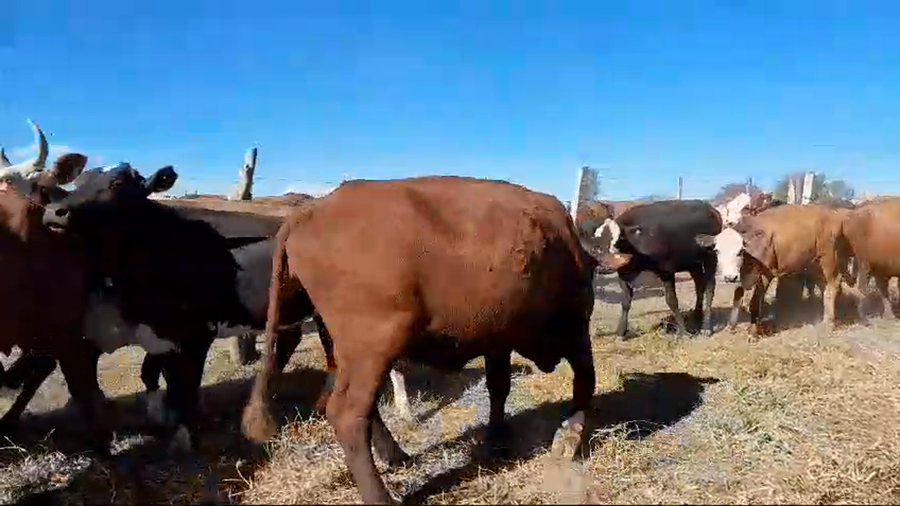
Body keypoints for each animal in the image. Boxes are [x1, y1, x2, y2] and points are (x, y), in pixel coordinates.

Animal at [241, 175, 603, 504]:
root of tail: (309, 211)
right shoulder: (576, 325)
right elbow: (586, 379)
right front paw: (570, 437)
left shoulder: (498, 339)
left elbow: (499, 387)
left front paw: (498, 443)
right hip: (374, 347)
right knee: (347, 413)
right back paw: (381, 497)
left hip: (342, 349)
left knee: (357, 406)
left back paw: (396, 456)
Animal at [598, 199, 723, 337]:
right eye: (599, 242)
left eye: (618, 239)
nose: (605, 265)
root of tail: (711, 209)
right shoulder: (624, 274)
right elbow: (626, 301)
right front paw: (621, 331)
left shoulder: (666, 271)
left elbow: (671, 300)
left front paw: (683, 331)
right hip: (693, 264)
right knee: (699, 286)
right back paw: (697, 315)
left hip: (710, 258)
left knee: (710, 288)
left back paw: (706, 327)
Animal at [694, 204, 859, 340]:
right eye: (717, 251)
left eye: (740, 251)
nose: (729, 277)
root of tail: (834, 214)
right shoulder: (741, 275)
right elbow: (737, 297)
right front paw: (732, 326)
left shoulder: (765, 274)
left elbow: (755, 303)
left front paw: (752, 333)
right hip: (815, 263)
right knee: (824, 287)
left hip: (829, 258)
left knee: (833, 287)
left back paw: (829, 323)